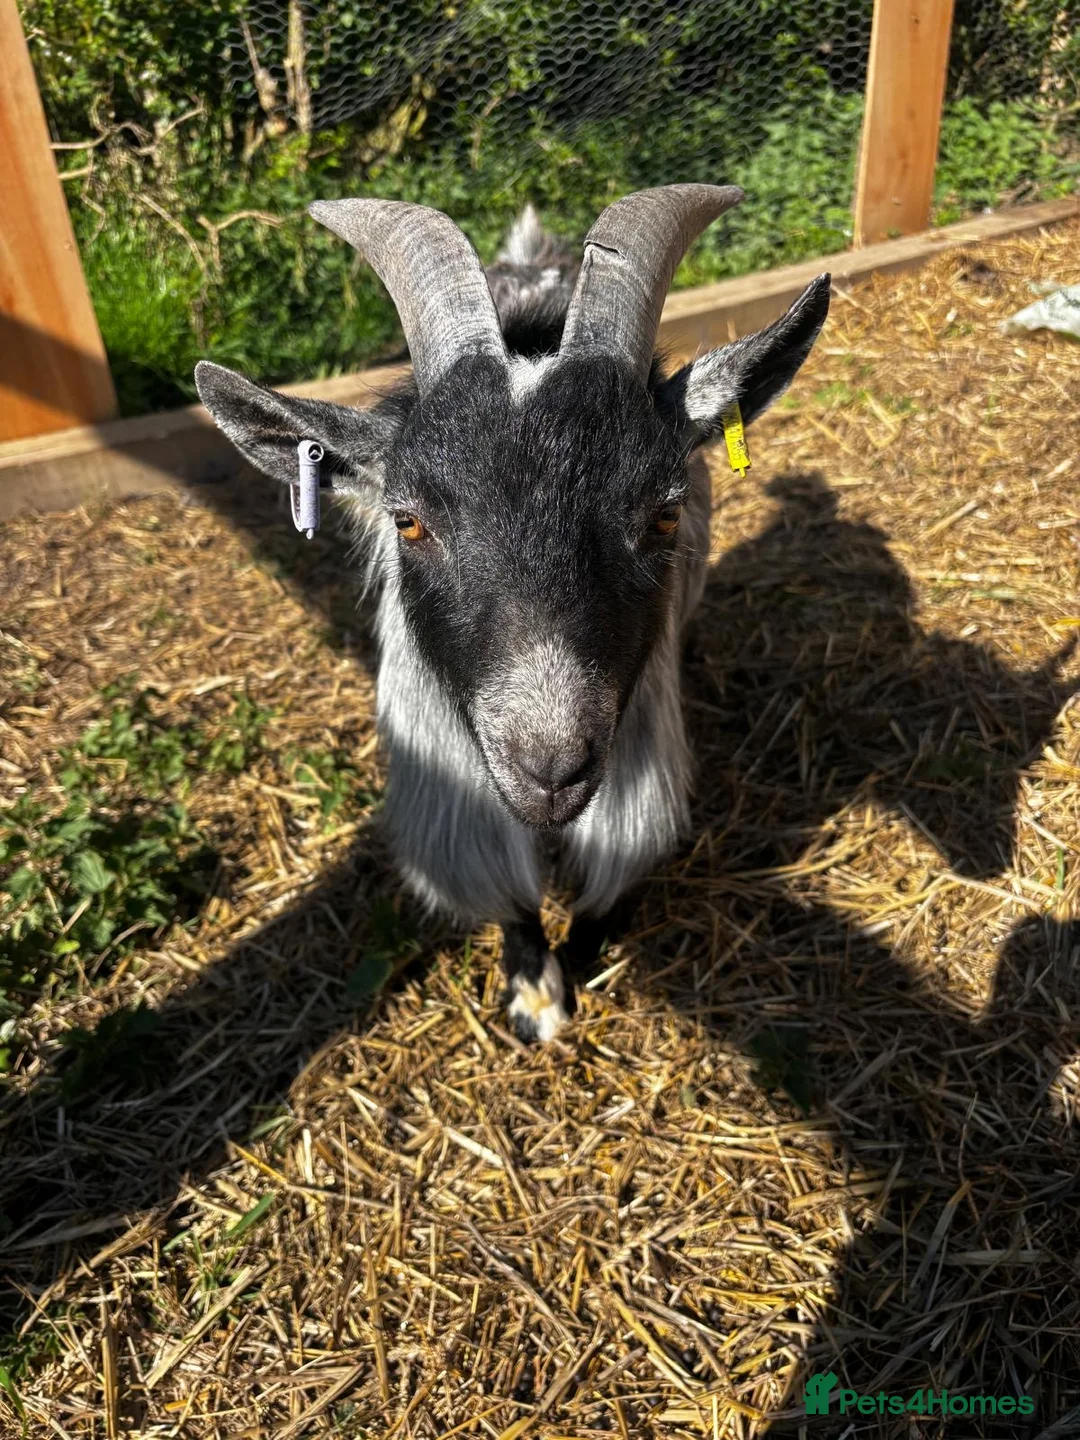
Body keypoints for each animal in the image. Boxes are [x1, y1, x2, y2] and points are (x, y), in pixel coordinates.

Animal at [195, 184, 830, 1043]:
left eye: (663, 514)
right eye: (409, 521)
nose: (550, 767)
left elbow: (609, 885)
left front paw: (580, 964)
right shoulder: (452, 791)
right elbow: (509, 895)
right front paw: (532, 991)